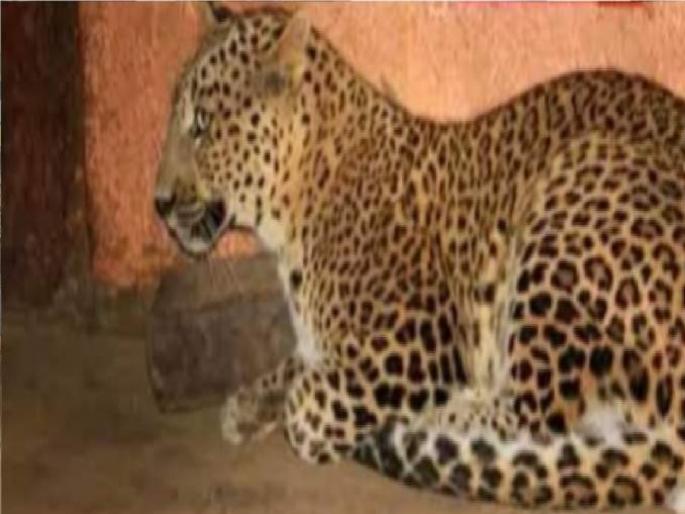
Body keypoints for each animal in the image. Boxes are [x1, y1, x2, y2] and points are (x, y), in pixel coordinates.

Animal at [154, 3, 685, 511]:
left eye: (201, 127)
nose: (158, 203)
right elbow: (297, 365)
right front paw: (247, 405)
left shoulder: (412, 344)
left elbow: (306, 406)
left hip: (577, 185)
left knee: (538, 419)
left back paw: (431, 422)